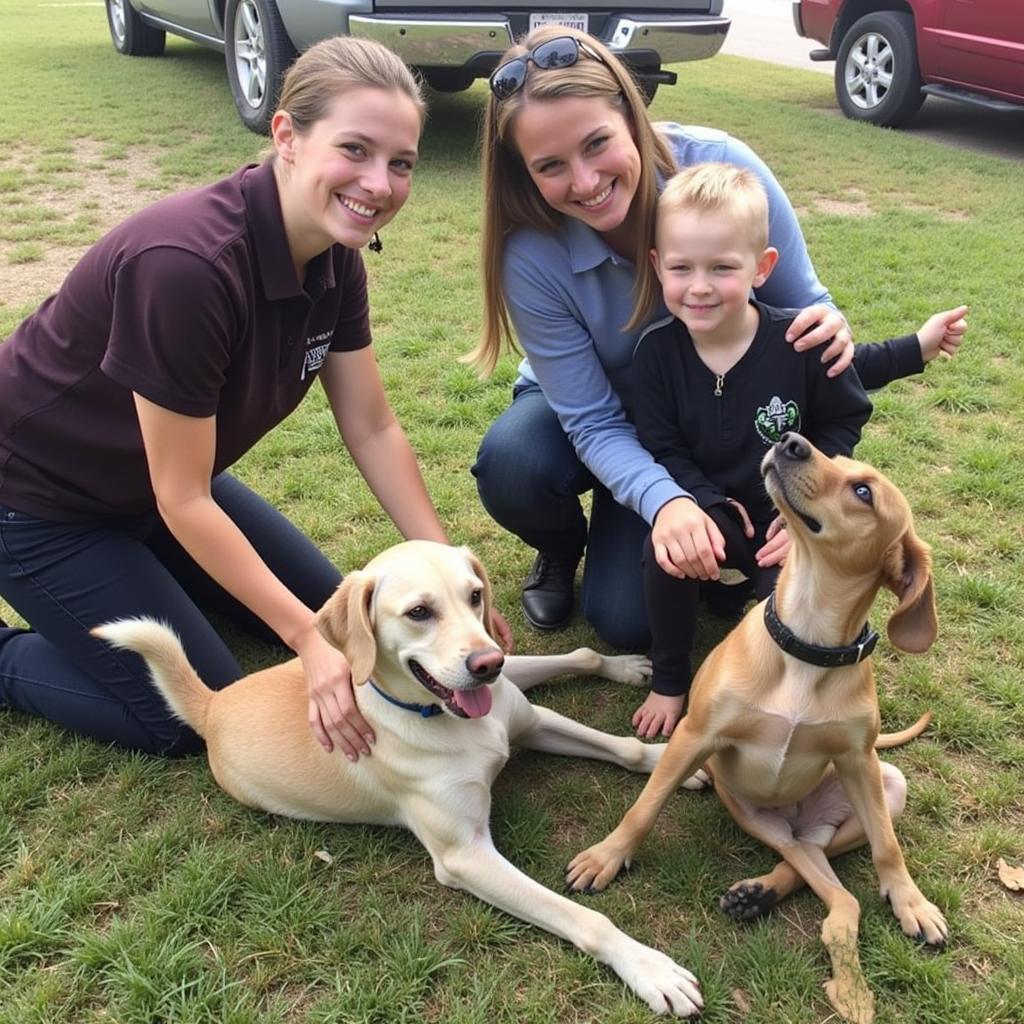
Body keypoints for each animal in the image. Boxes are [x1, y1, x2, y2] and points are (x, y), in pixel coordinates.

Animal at [94, 540, 704, 1019]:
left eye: (474, 595)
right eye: (418, 611)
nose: (486, 665)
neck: (445, 719)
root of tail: (212, 704)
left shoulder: (528, 723)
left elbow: (625, 748)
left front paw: (676, 761)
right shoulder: (465, 855)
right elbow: (584, 917)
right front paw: (649, 969)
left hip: (517, 674)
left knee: (575, 653)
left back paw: (623, 665)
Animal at [565, 434, 946, 1024]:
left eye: (863, 491)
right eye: (838, 463)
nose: (791, 442)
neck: (807, 641)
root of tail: (800, 819)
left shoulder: (859, 761)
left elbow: (888, 847)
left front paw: (911, 900)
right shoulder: (695, 737)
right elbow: (643, 808)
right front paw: (606, 857)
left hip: (884, 788)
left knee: (823, 870)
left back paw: (767, 897)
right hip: (749, 810)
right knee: (816, 869)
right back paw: (764, 897)